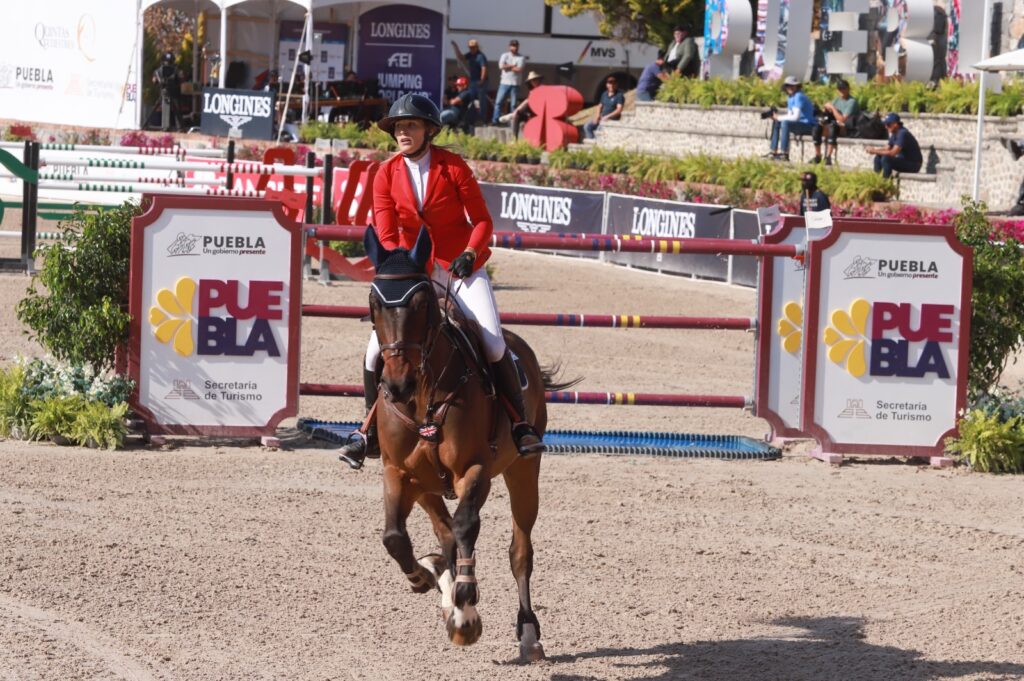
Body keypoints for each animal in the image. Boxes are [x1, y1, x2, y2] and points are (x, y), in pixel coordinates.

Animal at [360, 225, 573, 659]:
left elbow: (466, 526)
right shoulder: (398, 472)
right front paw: (426, 578)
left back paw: (527, 633)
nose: (397, 385)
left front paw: (466, 611)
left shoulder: (475, 471)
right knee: (442, 533)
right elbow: (395, 537)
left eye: (422, 303)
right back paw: (440, 578)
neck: (424, 395)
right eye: (374, 303)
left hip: (523, 471)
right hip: (426, 485)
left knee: (519, 550)